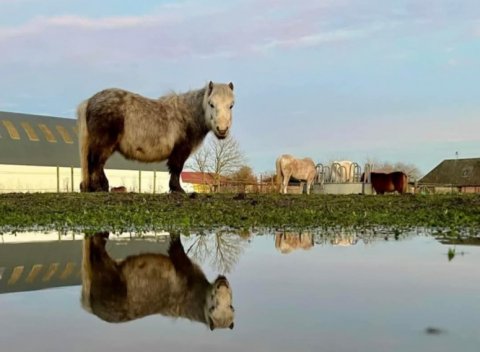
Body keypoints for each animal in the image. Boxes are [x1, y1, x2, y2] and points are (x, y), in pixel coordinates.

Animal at [77, 81, 234, 192]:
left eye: (231, 105)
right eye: (211, 104)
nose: (222, 130)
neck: (186, 115)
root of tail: (90, 101)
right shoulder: (181, 150)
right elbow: (176, 168)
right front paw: (177, 189)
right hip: (103, 145)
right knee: (96, 163)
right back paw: (98, 187)